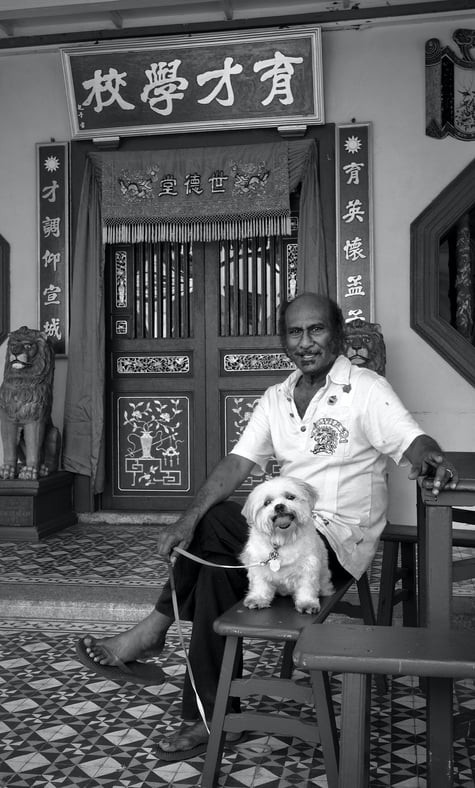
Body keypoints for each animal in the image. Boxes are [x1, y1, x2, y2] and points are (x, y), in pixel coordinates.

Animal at [242, 474, 334, 616]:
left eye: (290, 497)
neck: (283, 538)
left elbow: (307, 587)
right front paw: (258, 598)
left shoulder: (308, 567)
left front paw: (307, 603)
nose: (279, 506)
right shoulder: (258, 565)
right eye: (267, 502)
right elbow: (260, 584)